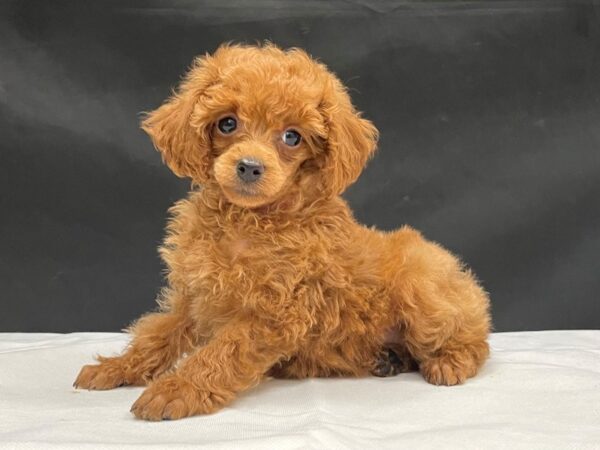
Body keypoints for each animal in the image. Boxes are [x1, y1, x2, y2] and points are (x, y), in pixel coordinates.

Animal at [75, 44, 490, 420]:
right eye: (227, 123)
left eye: (292, 137)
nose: (249, 166)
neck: (246, 221)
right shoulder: (194, 297)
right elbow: (157, 335)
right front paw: (116, 367)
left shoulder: (276, 313)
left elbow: (220, 352)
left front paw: (177, 389)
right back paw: (386, 359)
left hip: (420, 286)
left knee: (475, 339)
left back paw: (449, 362)